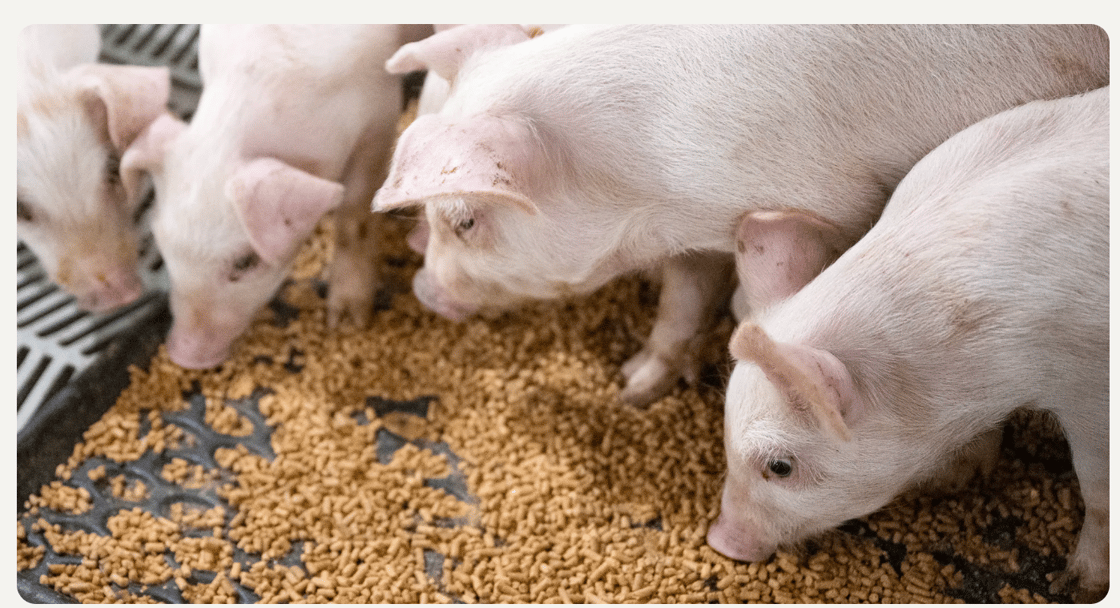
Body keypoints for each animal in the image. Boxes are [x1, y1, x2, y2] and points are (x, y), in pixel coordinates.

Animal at [121, 25, 421, 369]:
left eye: (246, 261)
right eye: (163, 248)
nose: (184, 355)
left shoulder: (380, 112)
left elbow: (355, 215)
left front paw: (346, 322)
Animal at [372, 24, 1109, 407]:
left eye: (465, 221)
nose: (422, 288)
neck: (647, 187)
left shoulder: (834, 208)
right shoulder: (700, 232)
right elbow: (682, 301)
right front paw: (631, 389)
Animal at [707, 85, 1109, 602]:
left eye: (780, 467)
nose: (721, 542)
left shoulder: (1092, 390)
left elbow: (1098, 489)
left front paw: (1078, 585)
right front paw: (954, 480)